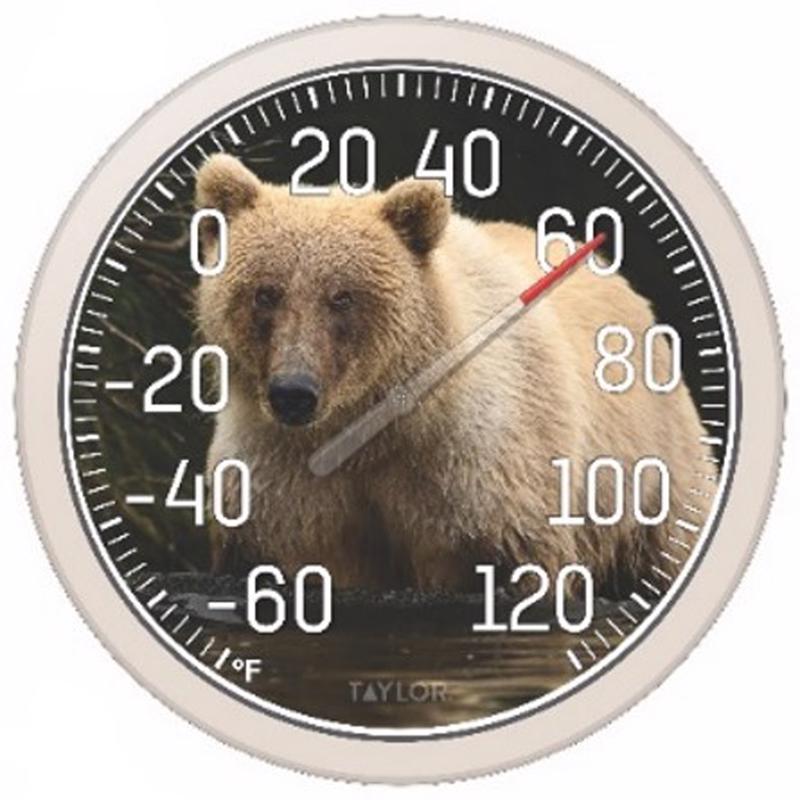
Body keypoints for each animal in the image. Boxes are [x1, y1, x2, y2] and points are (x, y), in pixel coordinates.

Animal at [194, 153, 715, 599]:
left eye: (342, 296)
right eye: (265, 292)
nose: (294, 392)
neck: (365, 435)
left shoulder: (477, 479)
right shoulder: (278, 484)